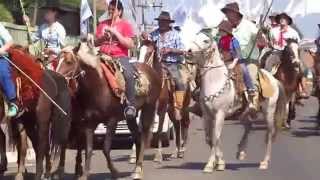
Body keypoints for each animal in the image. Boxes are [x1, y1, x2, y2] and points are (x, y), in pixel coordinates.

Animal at [56, 40, 161, 179]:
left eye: (69, 62)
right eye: (57, 61)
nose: (57, 77)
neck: (97, 88)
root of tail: (151, 70)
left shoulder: (112, 121)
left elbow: (105, 148)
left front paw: (114, 171)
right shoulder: (89, 123)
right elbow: (88, 149)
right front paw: (85, 174)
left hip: (149, 108)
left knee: (143, 136)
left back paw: (138, 169)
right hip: (130, 117)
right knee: (137, 138)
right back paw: (135, 168)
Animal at [186, 29, 286, 173]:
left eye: (205, 40)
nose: (188, 52)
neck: (215, 80)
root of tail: (274, 79)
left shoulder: (220, 114)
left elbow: (215, 137)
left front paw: (211, 165)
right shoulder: (206, 115)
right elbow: (209, 138)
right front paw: (219, 162)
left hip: (269, 111)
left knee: (269, 133)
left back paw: (264, 162)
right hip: (243, 113)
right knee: (249, 126)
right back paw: (241, 152)